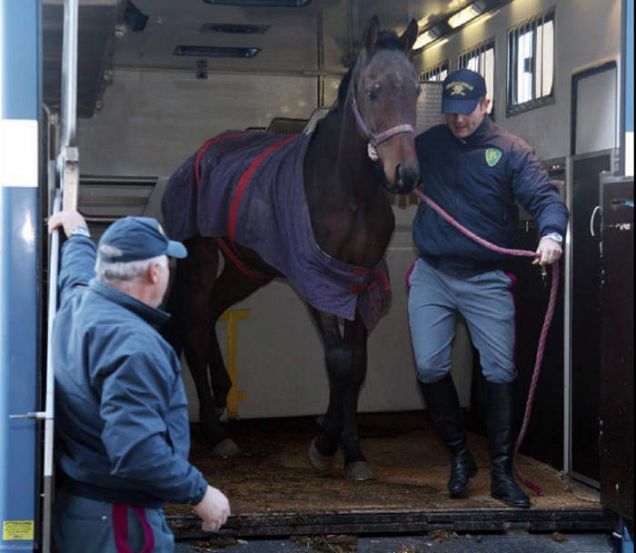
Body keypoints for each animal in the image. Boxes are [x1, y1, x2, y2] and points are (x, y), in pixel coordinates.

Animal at [163, 17, 422, 478]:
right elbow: (338, 360)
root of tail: (197, 155)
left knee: (210, 313)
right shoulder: (316, 279)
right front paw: (324, 444)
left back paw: (221, 395)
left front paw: (353, 452)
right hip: (199, 258)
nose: (405, 175)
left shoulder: (359, 279)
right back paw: (216, 432)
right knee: (192, 325)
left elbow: (357, 366)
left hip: (247, 268)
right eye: (373, 89)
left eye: (415, 90)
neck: (345, 191)